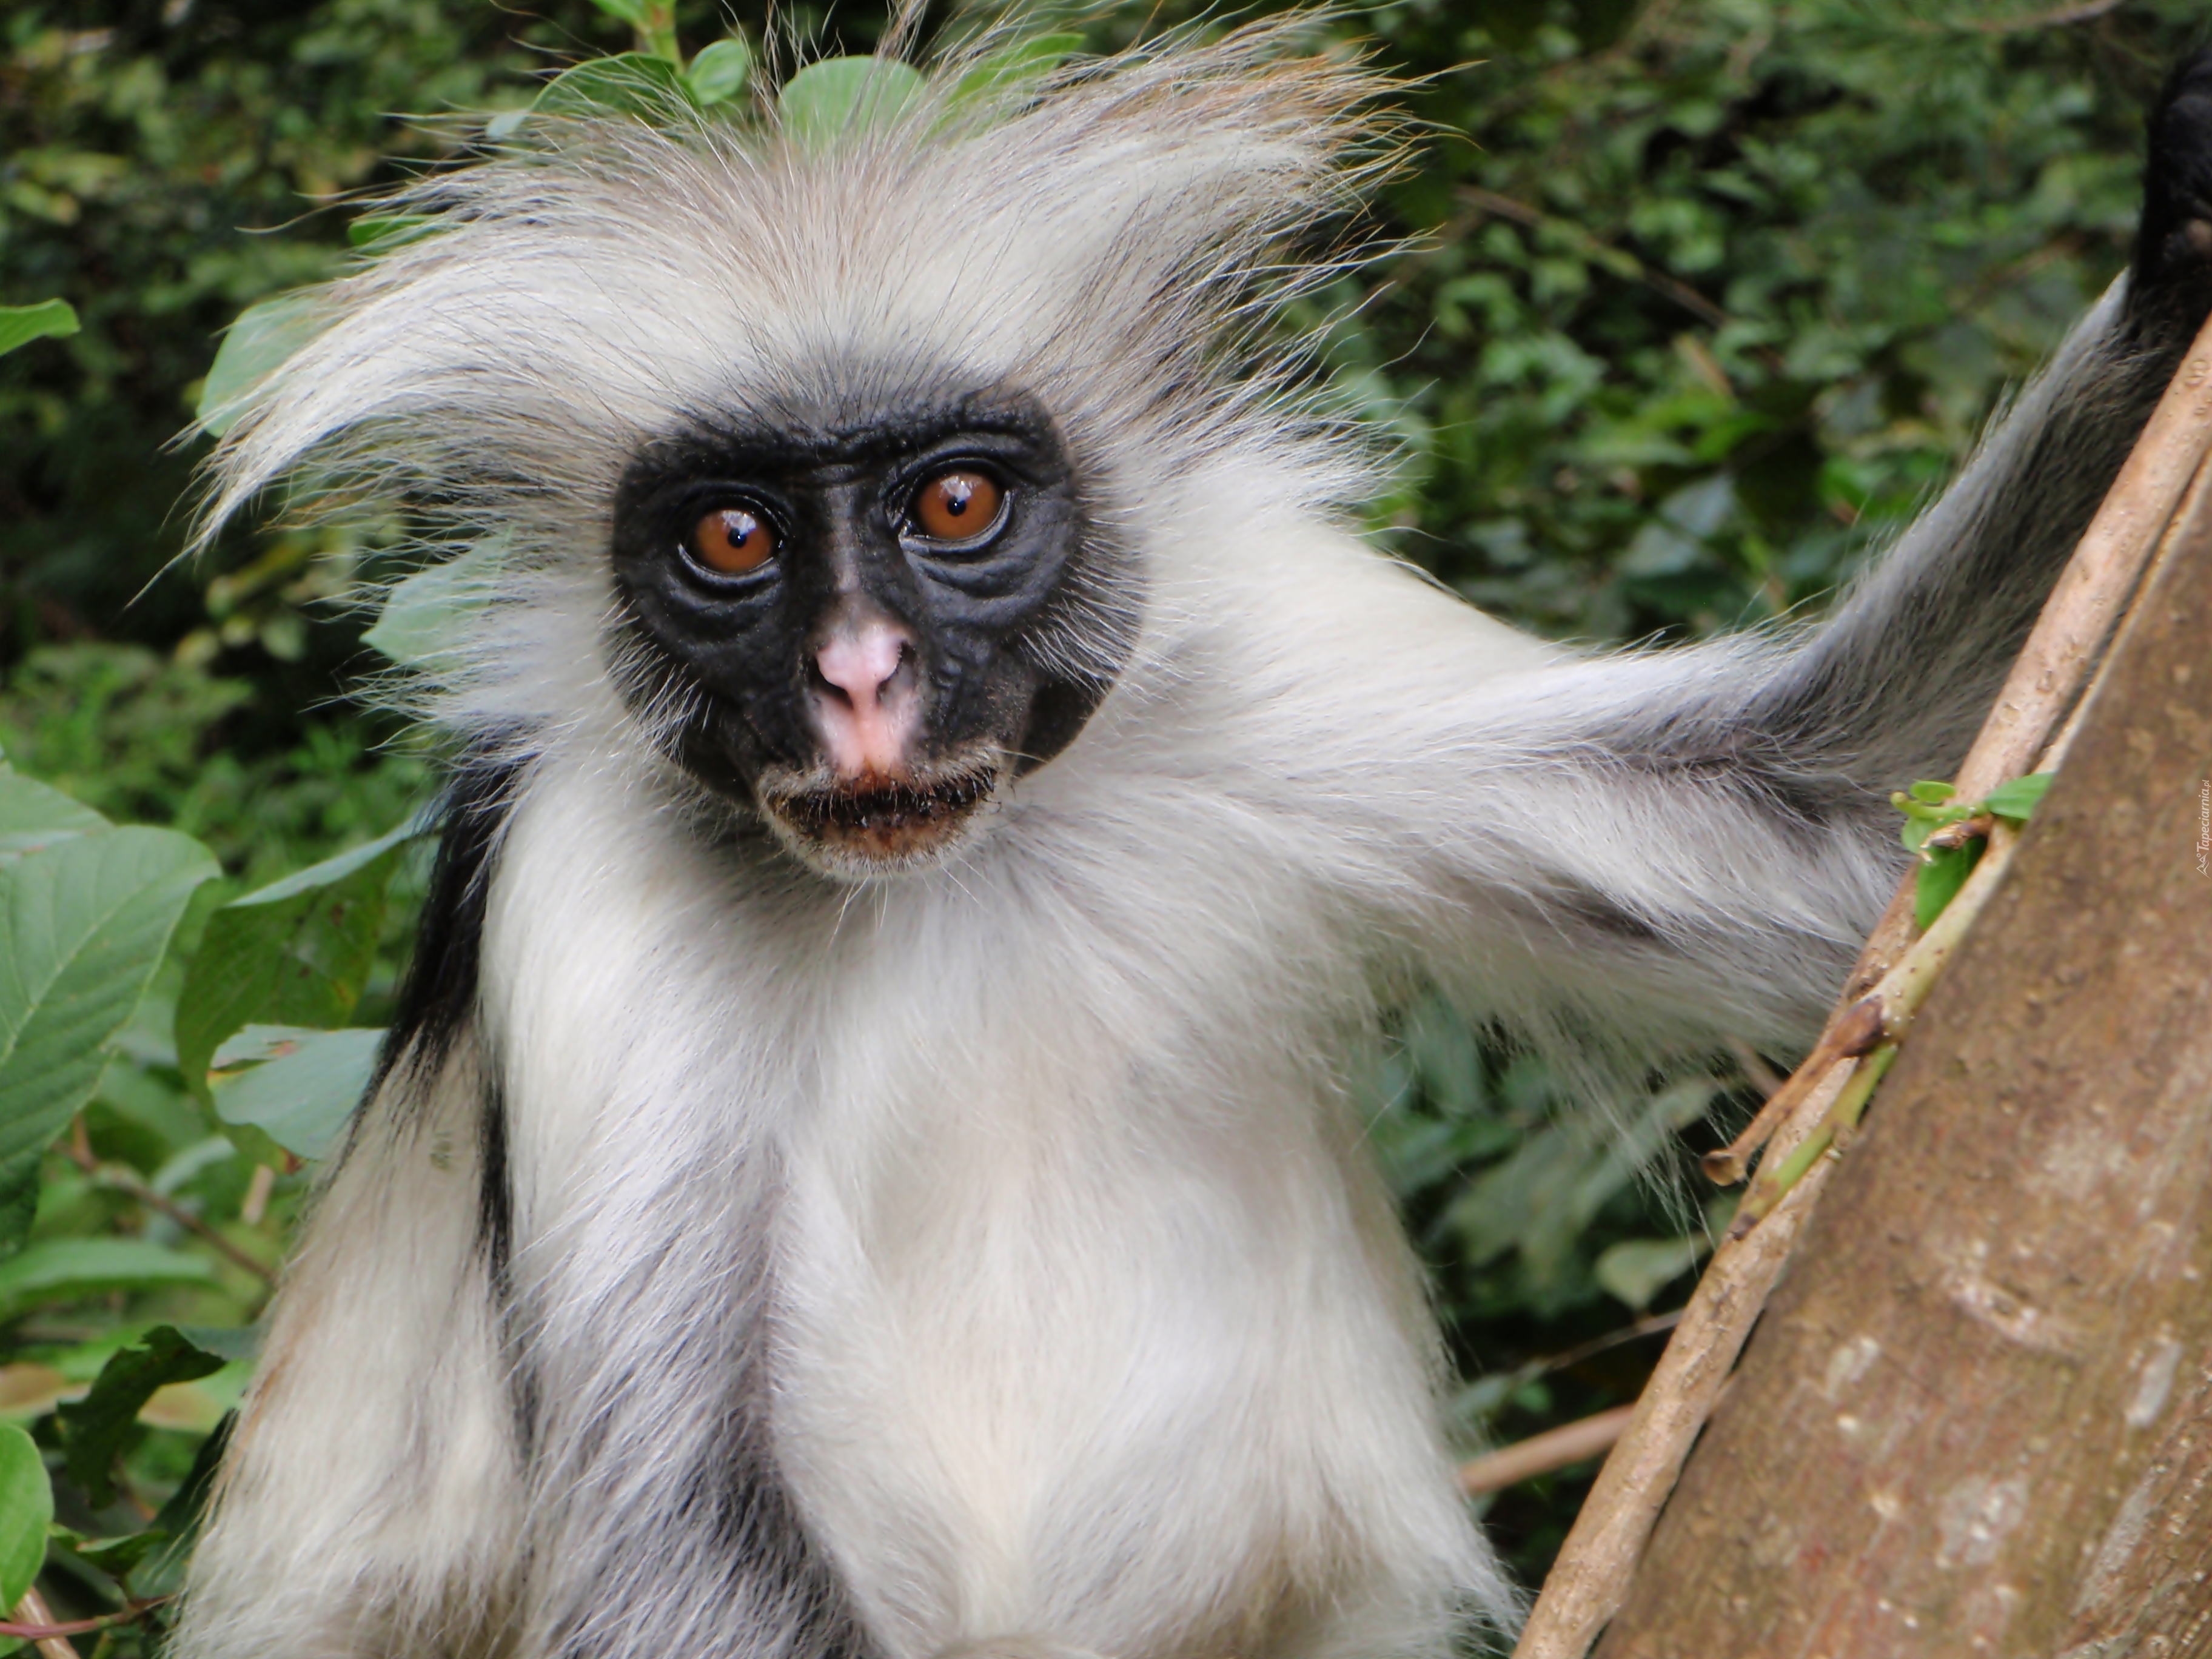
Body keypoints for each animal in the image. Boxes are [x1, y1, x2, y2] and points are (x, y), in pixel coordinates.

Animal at [168, 22, 2212, 1659]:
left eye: (957, 505)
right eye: (733, 542)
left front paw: (2188, 230)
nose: (860, 684)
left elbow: (1842, 827)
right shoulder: (591, 870)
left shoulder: (1255, 652)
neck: (960, 860)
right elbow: (686, 1537)